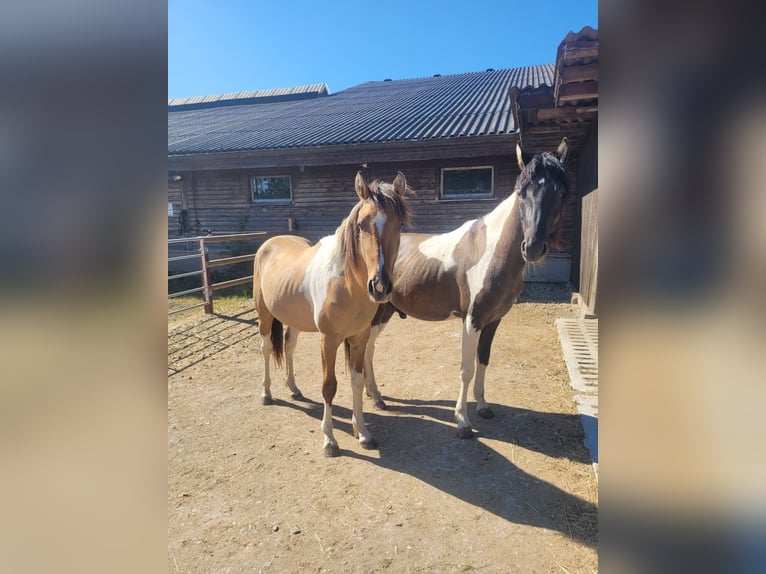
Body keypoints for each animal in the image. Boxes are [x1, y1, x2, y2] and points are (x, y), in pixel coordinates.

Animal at [253, 172, 412, 457]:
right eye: (360, 225)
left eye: (400, 225)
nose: (380, 287)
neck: (346, 283)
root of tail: (270, 242)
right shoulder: (328, 340)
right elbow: (329, 386)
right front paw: (329, 440)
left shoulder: (359, 338)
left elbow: (357, 381)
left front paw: (363, 433)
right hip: (265, 316)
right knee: (267, 349)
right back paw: (267, 394)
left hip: (293, 320)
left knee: (289, 347)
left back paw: (294, 389)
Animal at [364, 138, 570, 438]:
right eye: (522, 193)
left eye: (559, 192)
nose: (532, 248)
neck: (491, 251)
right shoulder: (471, 320)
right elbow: (466, 369)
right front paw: (462, 421)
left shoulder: (493, 321)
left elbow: (483, 361)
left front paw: (483, 406)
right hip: (376, 313)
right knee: (365, 349)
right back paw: (377, 397)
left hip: (387, 311)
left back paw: (373, 395)